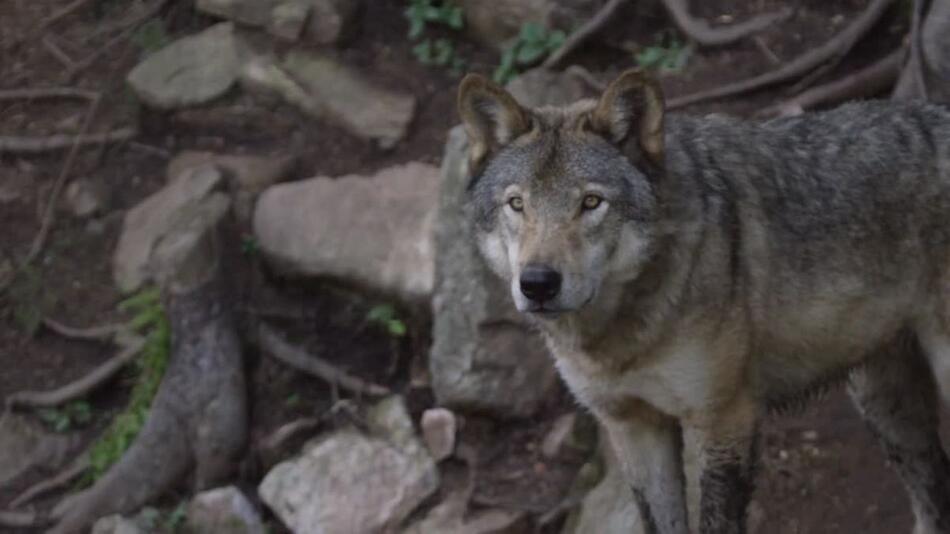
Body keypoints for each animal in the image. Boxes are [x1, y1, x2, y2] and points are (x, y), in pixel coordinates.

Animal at [462, 68, 950, 534]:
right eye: (517, 204)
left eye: (591, 202)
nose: (538, 283)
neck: (623, 338)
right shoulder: (633, 429)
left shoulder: (723, 420)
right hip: (884, 405)